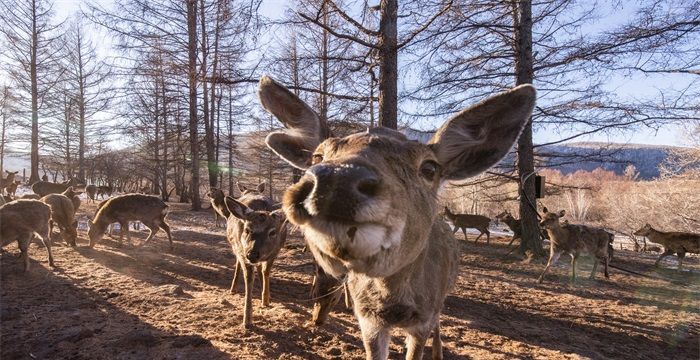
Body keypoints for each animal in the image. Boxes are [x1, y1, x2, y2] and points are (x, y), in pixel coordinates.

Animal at [258, 74, 536, 358]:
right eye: (317, 156)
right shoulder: (367, 318)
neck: (392, 300)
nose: (338, 179)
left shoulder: (423, 318)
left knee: (439, 324)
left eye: (430, 168)